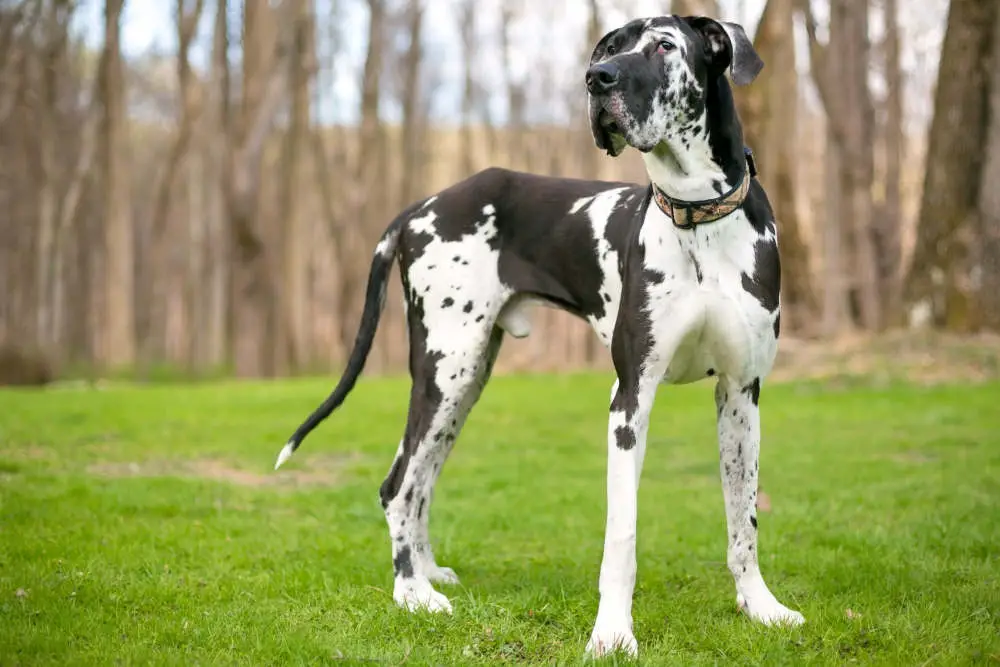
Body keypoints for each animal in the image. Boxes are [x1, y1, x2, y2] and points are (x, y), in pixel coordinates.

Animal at [274, 13, 804, 660]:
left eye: (663, 45)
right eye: (609, 48)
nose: (597, 79)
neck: (698, 216)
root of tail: (419, 207)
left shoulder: (740, 395)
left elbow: (742, 519)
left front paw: (761, 607)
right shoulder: (629, 401)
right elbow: (622, 536)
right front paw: (612, 635)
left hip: (464, 381)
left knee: (420, 481)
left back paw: (426, 572)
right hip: (445, 370)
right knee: (397, 486)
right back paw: (412, 593)